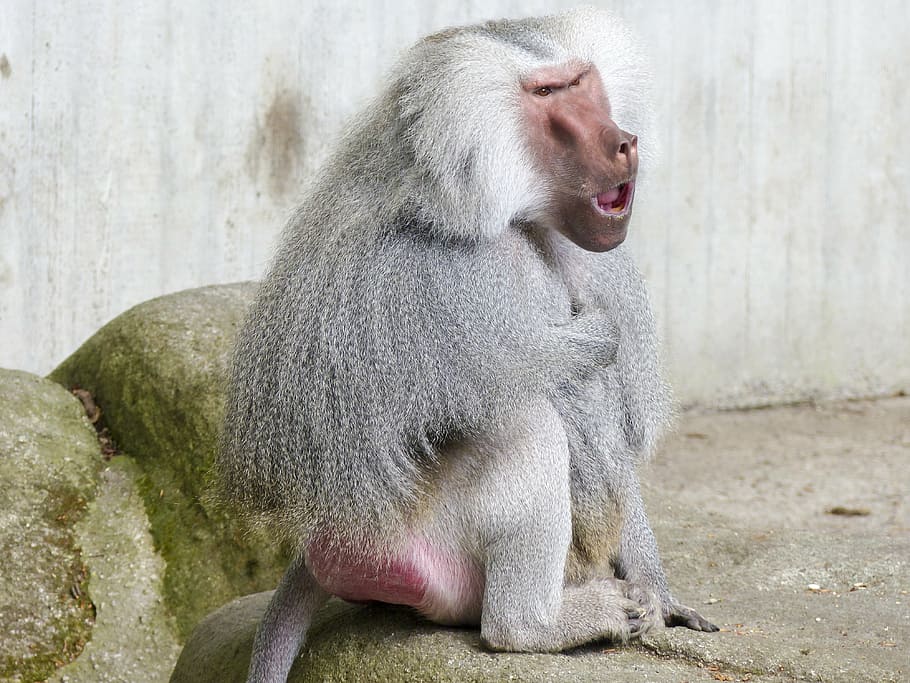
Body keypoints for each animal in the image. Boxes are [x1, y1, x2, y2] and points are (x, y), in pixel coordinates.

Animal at [215, 8, 718, 683]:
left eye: (582, 82)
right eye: (546, 94)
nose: (622, 142)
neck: (513, 213)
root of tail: (329, 538)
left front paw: (660, 594)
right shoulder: (458, 281)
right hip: (406, 532)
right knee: (530, 427)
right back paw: (543, 625)